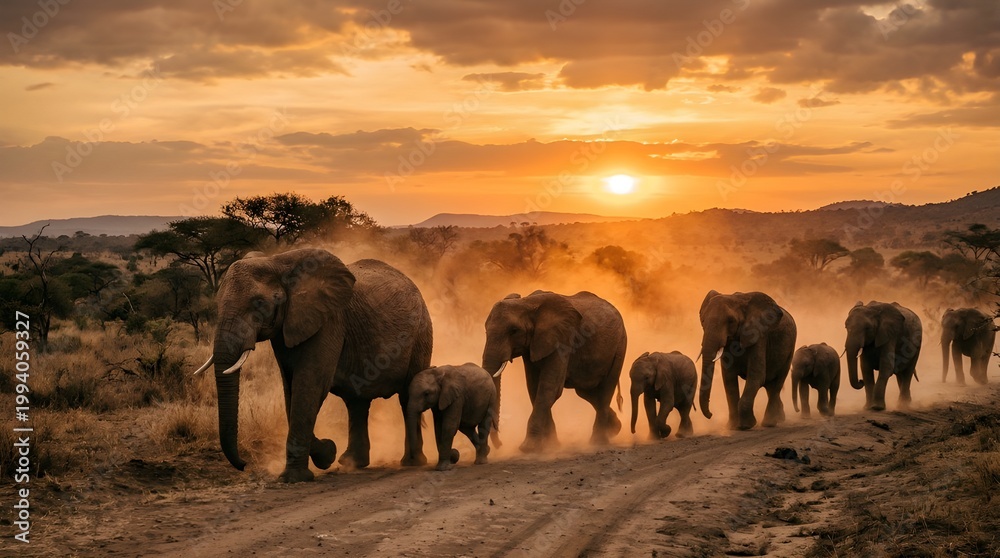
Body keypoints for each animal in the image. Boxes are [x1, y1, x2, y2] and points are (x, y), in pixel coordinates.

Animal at [193, 248, 433, 482]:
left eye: (259, 303)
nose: (243, 464)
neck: (276, 261)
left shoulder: (329, 322)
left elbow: (310, 384)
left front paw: (295, 477)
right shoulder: (285, 330)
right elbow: (290, 389)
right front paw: (327, 454)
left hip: (421, 334)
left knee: (408, 396)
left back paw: (411, 463)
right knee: (357, 402)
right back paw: (352, 463)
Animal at [482, 290, 626, 453]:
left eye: (513, 331)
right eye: (485, 330)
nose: (500, 444)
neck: (527, 303)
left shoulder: (562, 341)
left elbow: (549, 388)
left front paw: (528, 448)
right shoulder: (532, 346)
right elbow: (534, 388)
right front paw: (551, 446)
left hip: (620, 346)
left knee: (605, 390)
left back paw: (597, 443)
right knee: (586, 392)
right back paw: (615, 428)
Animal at [698, 290, 797, 430]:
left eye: (731, 321)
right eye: (703, 321)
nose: (711, 414)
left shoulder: (759, 336)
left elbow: (756, 376)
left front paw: (745, 426)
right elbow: (729, 379)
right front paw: (732, 426)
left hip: (790, 348)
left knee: (778, 381)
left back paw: (769, 423)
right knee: (771, 386)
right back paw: (780, 419)